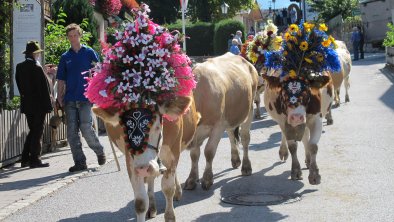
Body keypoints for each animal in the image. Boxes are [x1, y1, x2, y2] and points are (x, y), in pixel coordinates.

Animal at [84, 3, 199, 222]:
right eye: (123, 126)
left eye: (156, 125)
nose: (143, 166)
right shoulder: (132, 162)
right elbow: (140, 201)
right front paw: (146, 207)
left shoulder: (172, 153)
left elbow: (168, 188)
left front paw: (170, 211)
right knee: (151, 180)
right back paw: (152, 206)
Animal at [184, 53, 258, 190]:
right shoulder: (197, 133)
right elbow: (194, 155)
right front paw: (192, 179)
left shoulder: (218, 126)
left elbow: (209, 152)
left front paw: (207, 179)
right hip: (229, 115)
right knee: (231, 134)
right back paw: (235, 159)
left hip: (248, 110)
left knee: (245, 138)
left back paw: (246, 167)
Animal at [262, 22, 342, 184]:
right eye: (283, 91)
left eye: (306, 91)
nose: (297, 117)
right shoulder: (285, 121)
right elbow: (293, 146)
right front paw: (296, 170)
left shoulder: (316, 118)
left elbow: (313, 146)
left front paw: (314, 174)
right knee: (289, 136)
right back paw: (285, 152)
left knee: (305, 137)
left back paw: (308, 159)